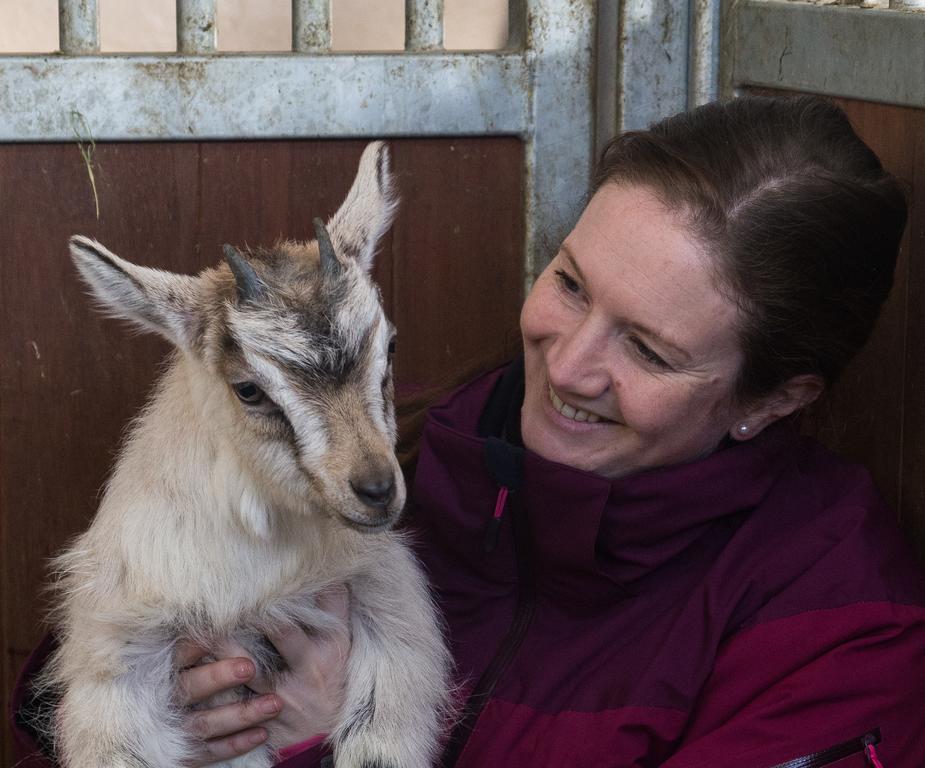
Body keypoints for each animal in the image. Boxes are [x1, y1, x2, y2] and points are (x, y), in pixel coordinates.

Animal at [39, 144, 452, 768]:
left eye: (392, 345)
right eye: (249, 389)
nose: (377, 489)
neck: (258, 576)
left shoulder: (386, 599)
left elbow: (380, 734)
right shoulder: (119, 649)